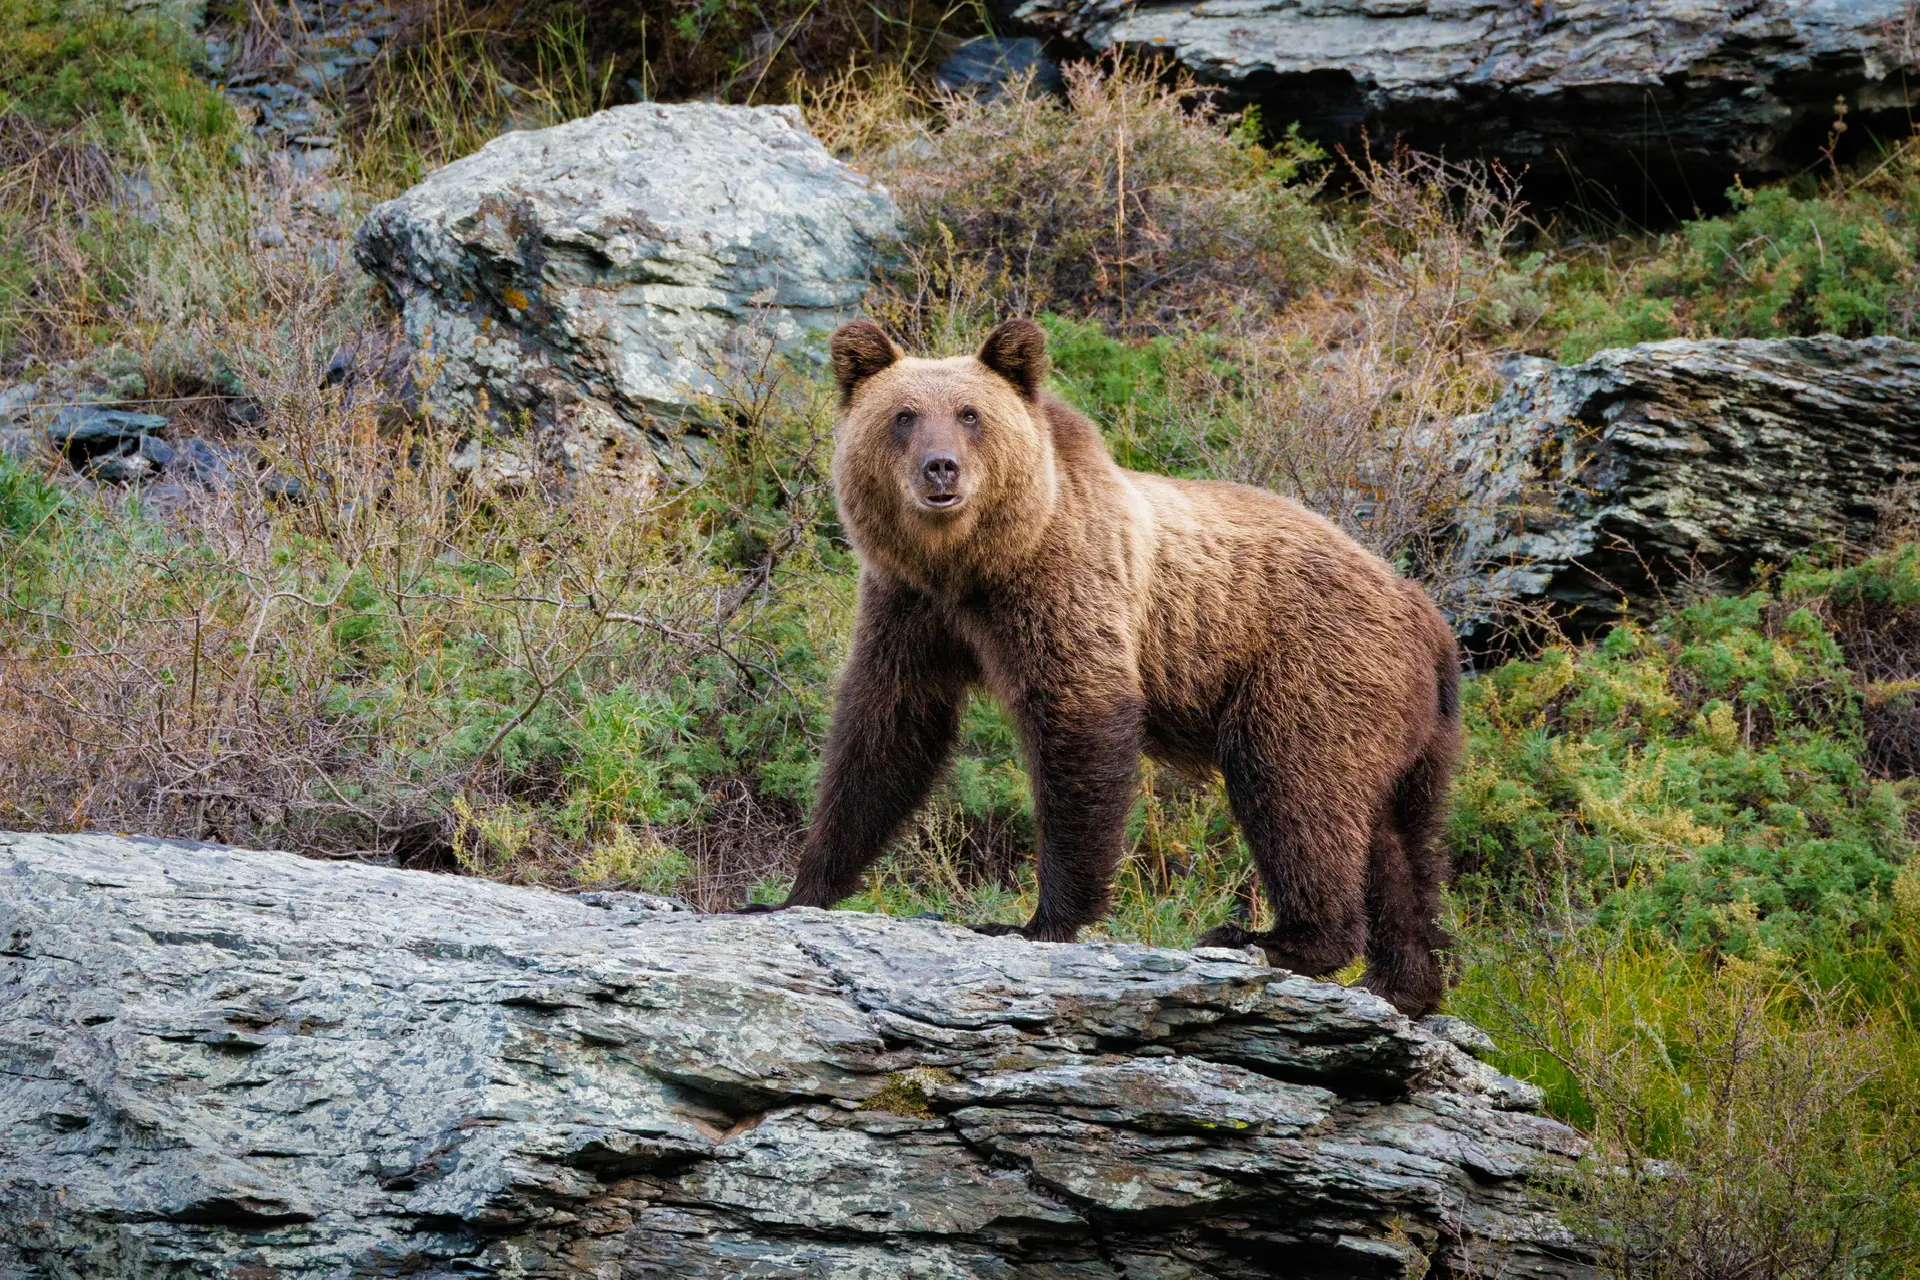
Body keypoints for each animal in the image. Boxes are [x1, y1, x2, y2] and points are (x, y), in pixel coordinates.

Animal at [745, 316, 1461, 1017]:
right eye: (904, 415)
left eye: (971, 414)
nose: (940, 469)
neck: (971, 566)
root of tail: (1427, 617)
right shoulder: (910, 609)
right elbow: (885, 731)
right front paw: (792, 892)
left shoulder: (1061, 583)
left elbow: (1077, 723)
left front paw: (1035, 920)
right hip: (1409, 729)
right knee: (1400, 844)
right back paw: (1404, 982)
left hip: (1314, 666)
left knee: (1297, 787)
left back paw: (1282, 938)